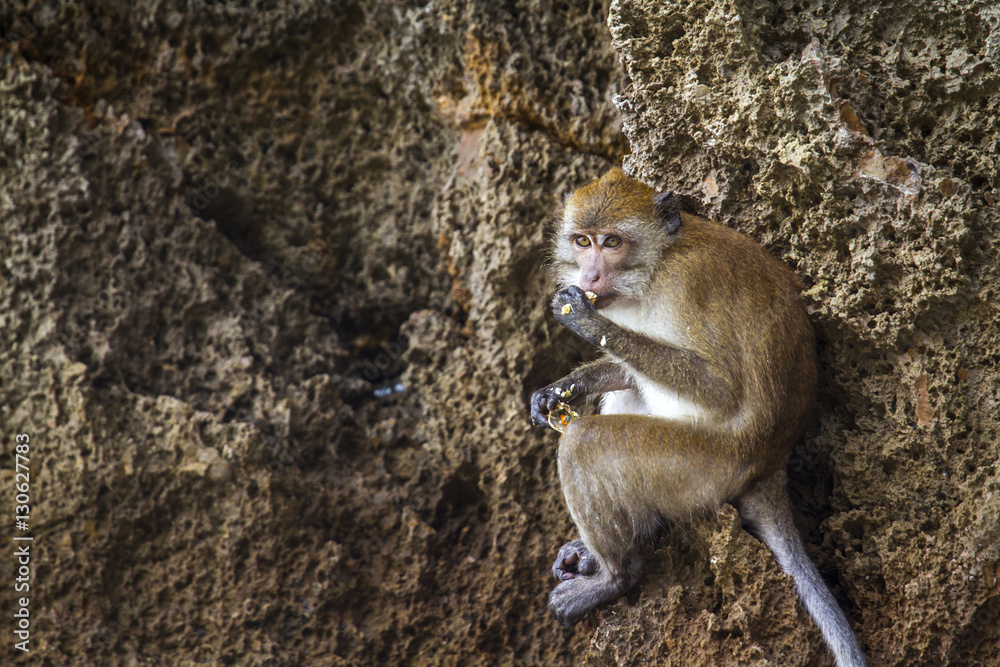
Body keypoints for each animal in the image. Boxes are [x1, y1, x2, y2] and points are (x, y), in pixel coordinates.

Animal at [530, 168, 866, 667]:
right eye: (582, 241)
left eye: (612, 242)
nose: (590, 273)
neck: (656, 266)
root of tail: (768, 468)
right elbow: (625, 372)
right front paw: (559, 389)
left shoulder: (686, 286)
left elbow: (720, 388)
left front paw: (587, 322)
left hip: (697, 471)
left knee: (586, 444)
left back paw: (613, 577)